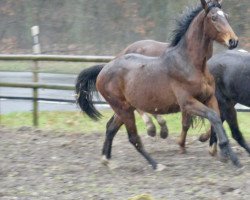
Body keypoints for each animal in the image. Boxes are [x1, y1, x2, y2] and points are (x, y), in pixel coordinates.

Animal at [76, 0, 240, 170]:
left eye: (226, 16)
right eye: (213, 18)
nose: (233, 41)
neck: (190, 64)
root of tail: (104, 70)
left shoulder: (209, 98)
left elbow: (217, 118)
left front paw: (225, 154)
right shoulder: (188, 103)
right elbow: (213, 117)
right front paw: (230, 155)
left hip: (124, 108)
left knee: (111, 128)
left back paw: (106, 159)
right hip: (123, 109)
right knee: (133, 137)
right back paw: (156, 163)